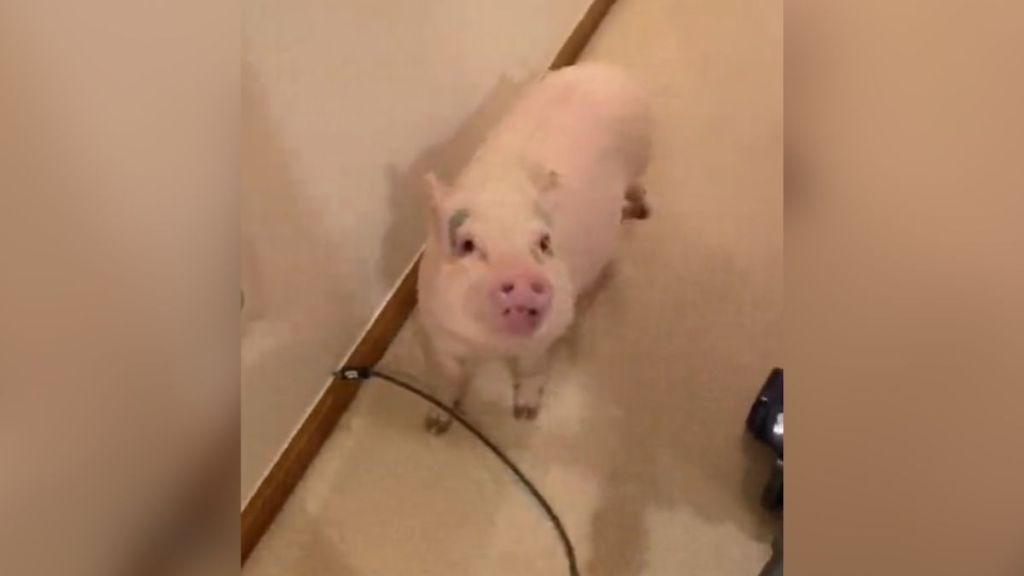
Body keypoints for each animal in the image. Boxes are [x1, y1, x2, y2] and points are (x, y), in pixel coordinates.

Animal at [413, 62, 647, 430]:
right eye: (468, 244)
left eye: (543, 242)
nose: (523, 278)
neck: (492, 346)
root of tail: (605, 68)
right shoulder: (436, 325)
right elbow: (448, 373)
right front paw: (435, 424)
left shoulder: (551, 327)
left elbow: (532, 368)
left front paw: (524, 414)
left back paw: (643, 211)